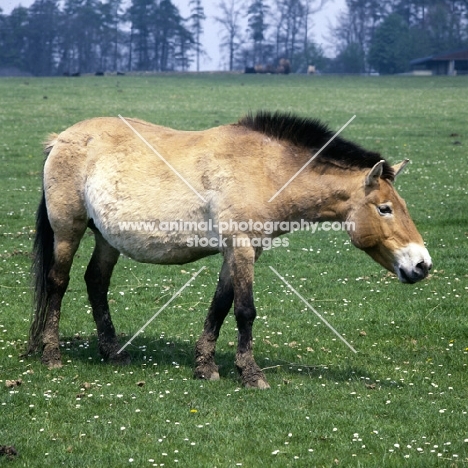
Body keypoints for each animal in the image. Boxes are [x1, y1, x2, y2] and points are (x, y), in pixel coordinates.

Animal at [28, 111, 432, 390]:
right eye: (385, 208)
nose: (422, 264)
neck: (266, 170)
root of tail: (60, 139)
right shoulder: (241, 247)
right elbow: (244, 311)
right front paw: (250, 374)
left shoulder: (240, 251)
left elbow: (220, 306)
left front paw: (205, 367)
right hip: (68, 231)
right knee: (58, 282)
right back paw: (51, 353)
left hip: (106, 239)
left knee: (95, 282)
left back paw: (112, 351)